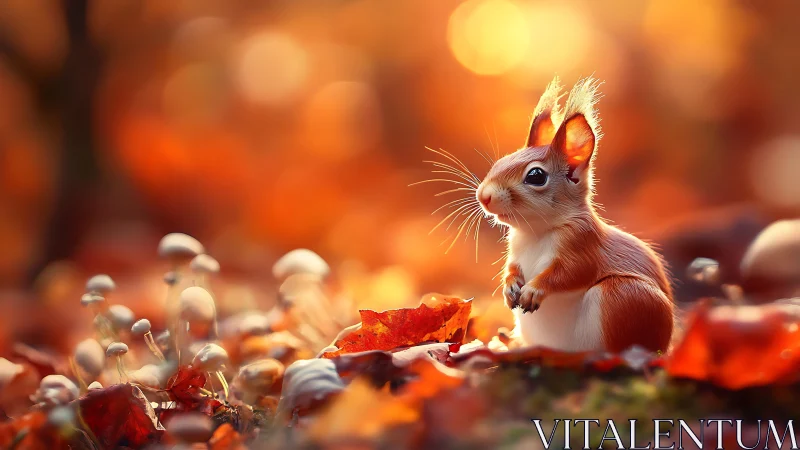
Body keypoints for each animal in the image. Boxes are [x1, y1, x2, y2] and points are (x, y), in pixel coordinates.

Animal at [475, 77, 674, 353]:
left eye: (536, 176)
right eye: (501, 162)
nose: (483, 196)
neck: (537, 231)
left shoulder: (583, 243)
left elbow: (571, 273)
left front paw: (534, 290)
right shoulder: (515, 249)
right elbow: (512, 267)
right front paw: (510, 285)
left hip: (624, 296)